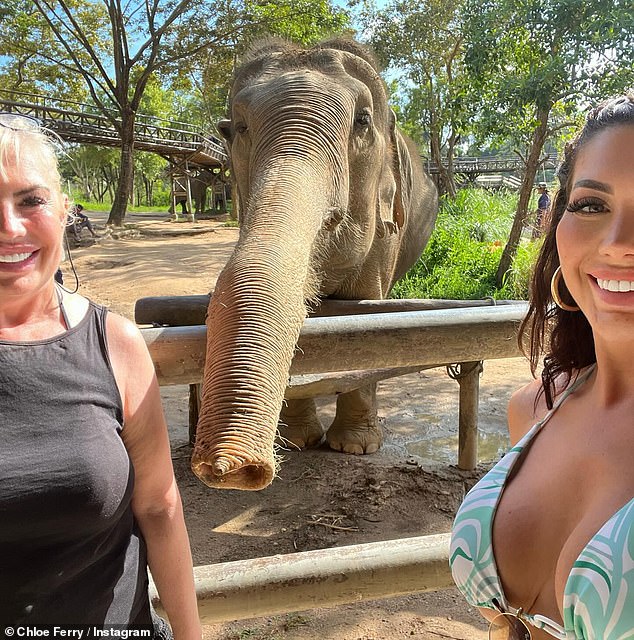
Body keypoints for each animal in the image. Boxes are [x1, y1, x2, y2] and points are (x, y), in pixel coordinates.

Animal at [190, 38, 436, 490]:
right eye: (239, 127)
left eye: (362, 120)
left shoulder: (384, 234)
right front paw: (300, 442)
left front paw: (355, 448)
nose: (234, 470)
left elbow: (365, 314)